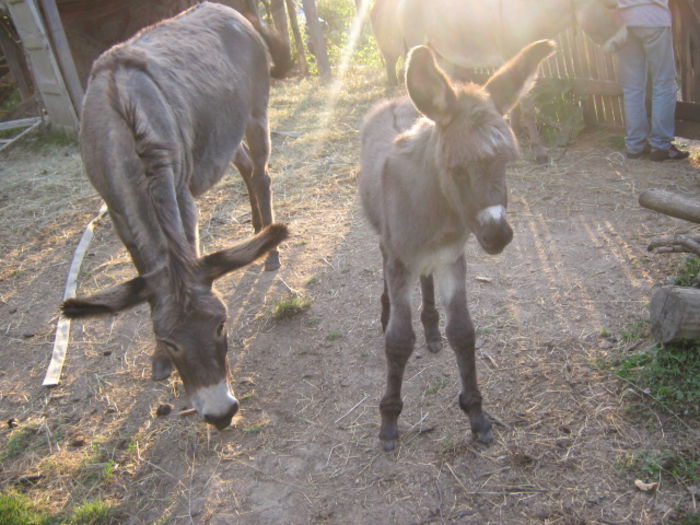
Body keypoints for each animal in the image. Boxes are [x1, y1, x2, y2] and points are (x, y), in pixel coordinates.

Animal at [61, 3, 288, 430]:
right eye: (170, 341)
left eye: (221, 324)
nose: (220, 415)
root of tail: (226, 9)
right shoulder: (118, 213)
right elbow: (146, 269)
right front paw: (157, 361)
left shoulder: (181, 197)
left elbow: (187, 244)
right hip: (223, 133)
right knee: (247, 168)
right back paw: (257, 231)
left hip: (256, 112)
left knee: (262, 174)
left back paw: (270, 252)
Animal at [358, 41, 556, 450]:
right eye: (457, 170)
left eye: (505, 163)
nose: (498, 236)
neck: (437, 209)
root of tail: (396, 99)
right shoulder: (400, 261)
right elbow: (398, 341)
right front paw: (389, 422)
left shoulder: (452, 258)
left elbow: (463, 333)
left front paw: (477, 416)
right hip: (386, 242)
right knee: (386, 267)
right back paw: (388, 312)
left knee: (427, 281)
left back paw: (432, 329)